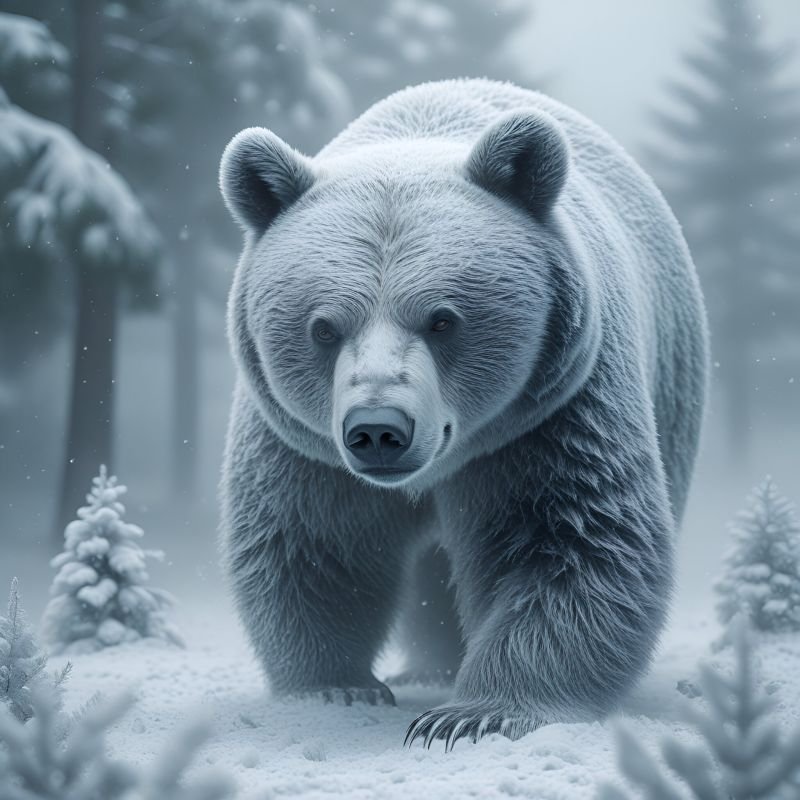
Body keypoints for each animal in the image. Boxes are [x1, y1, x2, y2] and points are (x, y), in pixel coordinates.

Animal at [218, 79, 708, 749]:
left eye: (443, 319)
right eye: (323, 327)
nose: (379, 430)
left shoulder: (549, 417)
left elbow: (568, 537)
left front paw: (473, 713)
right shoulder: (302, 446)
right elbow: (313, 542)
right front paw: (336, 685)